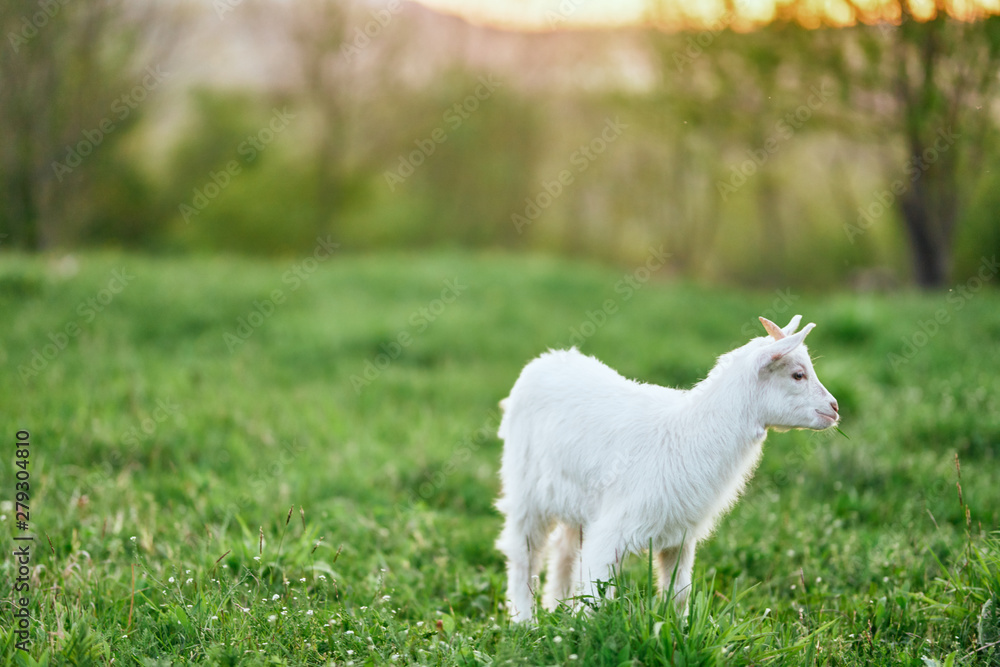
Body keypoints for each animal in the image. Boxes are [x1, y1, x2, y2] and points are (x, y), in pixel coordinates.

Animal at [494, 315, 839, 623]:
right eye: (798, 375)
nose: (835, 408)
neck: (689, 433)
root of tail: (548, 359)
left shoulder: (679, 537)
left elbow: (679, 593)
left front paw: (675, 628)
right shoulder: (612, 530)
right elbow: (595, 595)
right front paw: (581, 635)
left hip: (576, 500)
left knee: (563, 548)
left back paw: (556, 606)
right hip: (525, 489)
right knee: (523, 552)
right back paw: (524, 620)